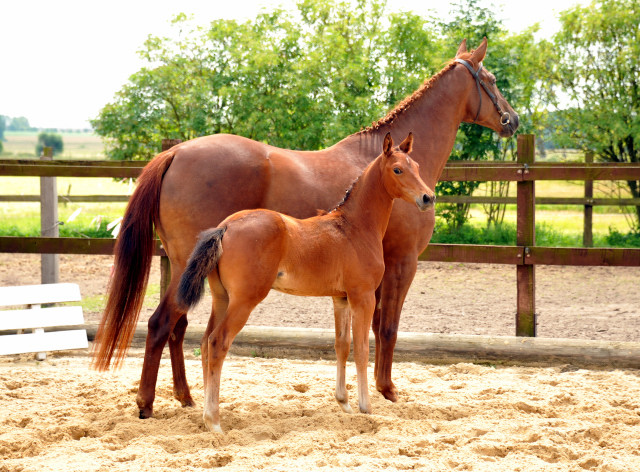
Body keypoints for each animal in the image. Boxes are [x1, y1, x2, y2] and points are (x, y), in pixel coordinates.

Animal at [175, 133, 436, 432]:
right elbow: (361, 349)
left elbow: (341, 345)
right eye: (397, 170)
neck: (354, 228)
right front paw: (366, 408)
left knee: (206, 343)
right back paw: (214, 421)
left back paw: (205, 415)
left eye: (417, 166)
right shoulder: (363, 296)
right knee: (218, 343)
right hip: (244, 300)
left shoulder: (340, 298)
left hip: (222, 298)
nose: (428, 198)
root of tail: (225, 227)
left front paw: (344, 403)